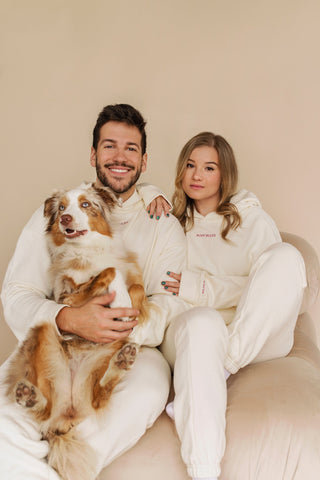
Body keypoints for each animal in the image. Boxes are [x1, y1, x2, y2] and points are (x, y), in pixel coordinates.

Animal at [4, 183, 151, 480]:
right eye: (61, 207)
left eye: (85, 204)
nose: (65, 219)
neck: (88, 248)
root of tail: (68, 411)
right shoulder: (67, 295)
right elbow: (105, 274)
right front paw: (114, 290)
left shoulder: (132, 274)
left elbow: (135, 288)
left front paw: (129, 307)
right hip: (44, 331)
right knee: (44, 411)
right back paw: (29, 397)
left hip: (102, 362)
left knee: (99, 396)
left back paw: (123, 360)